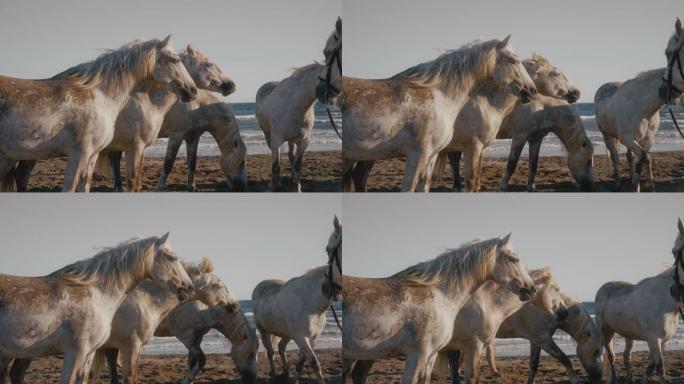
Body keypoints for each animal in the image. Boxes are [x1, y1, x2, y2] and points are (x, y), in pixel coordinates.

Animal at [251, 214, 342, 382]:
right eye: (327, 249)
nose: (327, 289)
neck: (312, 303)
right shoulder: (301, 338)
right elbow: (314, 364)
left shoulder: (313, 339)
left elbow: (301, 364)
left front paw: (294, 380)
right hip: (264, 330)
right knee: (270, 353)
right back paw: (274, 375)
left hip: (287, 334)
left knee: (281, 348)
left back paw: (286, 373)